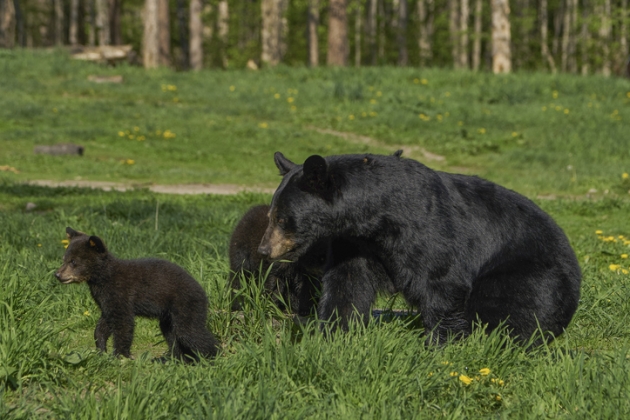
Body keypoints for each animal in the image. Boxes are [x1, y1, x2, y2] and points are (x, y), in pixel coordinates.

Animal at [55, 226, 222, 360]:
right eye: (64, 259)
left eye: (74, 262)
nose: (57, 274)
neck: (102, 278)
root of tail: (202, 291)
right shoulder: (106, 300)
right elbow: (104, 324)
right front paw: (101, 350)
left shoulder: (120, 293)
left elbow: (123, 323)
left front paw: (120, 355)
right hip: (168, 316)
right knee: (172, 334)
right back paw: (176, 358)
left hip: (185, 305)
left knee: (190, 332)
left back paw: (212, 356)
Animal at [260, 152, 584, 344]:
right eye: (271, 214)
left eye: (282, 218)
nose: (264, 250)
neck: (376, 216)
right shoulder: (354, 242)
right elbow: (346, 283)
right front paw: (331, 334)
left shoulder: (428, 228)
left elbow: (442, 280)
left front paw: (439, 344)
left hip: (530, 274)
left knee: (513, 306)